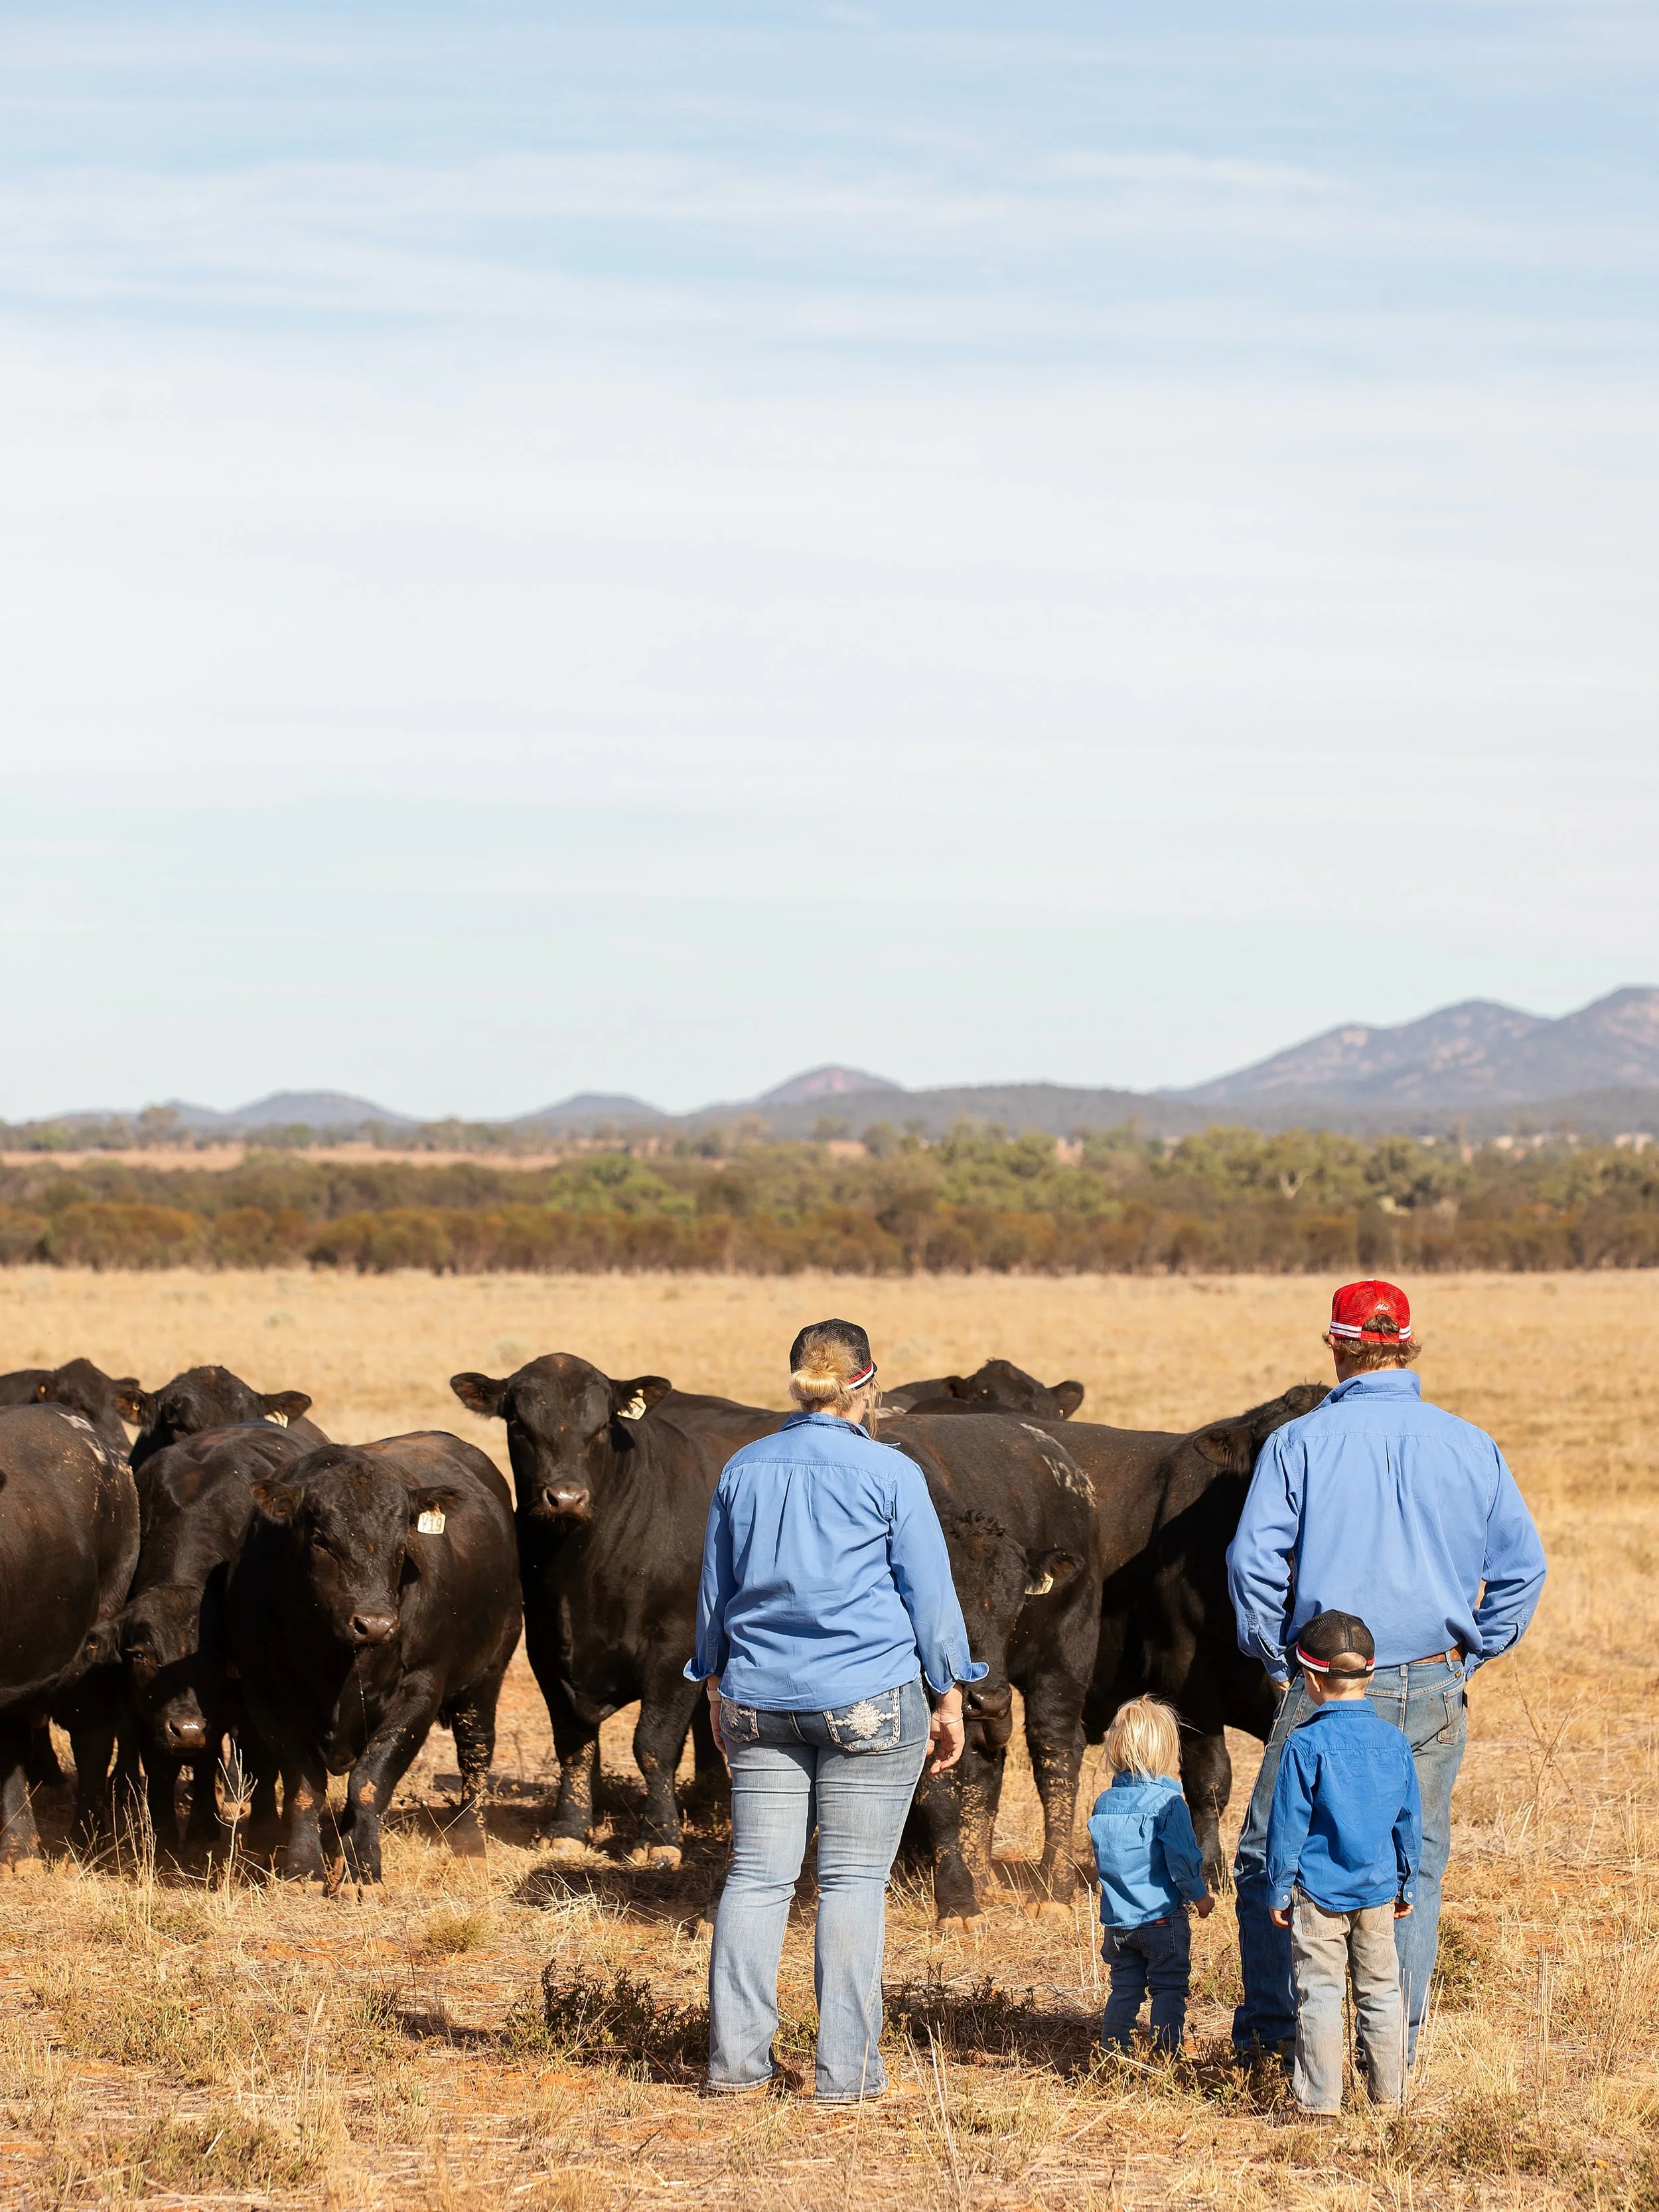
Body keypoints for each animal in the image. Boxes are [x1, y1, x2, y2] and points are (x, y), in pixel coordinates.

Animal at [94, 1423, 311, 1852]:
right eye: (143, 1656)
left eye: (211, 1660)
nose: (187, 1729)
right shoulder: (143, 1709)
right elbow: (161, 1766)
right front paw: (164, 1836)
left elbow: (231, 1757)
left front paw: (211, 1830)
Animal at [227, 1435, 521, 1881]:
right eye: (320, 1540)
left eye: (402, 1545)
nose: (376, 1625)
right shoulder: (266, 1693)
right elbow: (304, 1787)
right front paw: (304, 1867)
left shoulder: (420, 1690)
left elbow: (369, 1783)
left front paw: (362, 1869)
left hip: (487, 1677)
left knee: (476, 1751)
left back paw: (470, 1843)